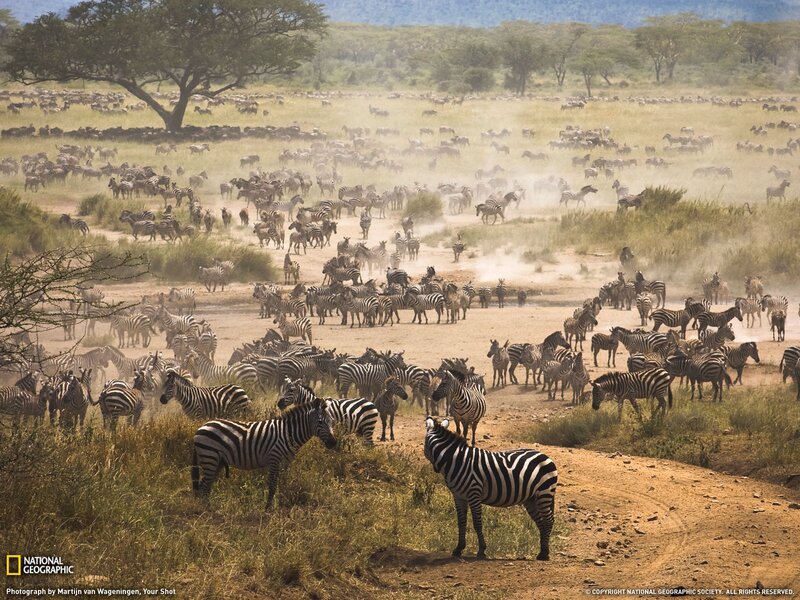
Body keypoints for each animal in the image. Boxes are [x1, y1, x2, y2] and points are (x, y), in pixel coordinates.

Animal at [191, 399, 336, 505]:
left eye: (331, 421)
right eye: (320, 422)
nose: (333, 443)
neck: (288, 433)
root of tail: (201, 427)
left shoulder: (285, 463)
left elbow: (281, 484)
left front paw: (279, 503)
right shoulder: (274, 458)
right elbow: (272, 485)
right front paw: (268, 508)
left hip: (217, 461)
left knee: (205, 485)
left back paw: (207, 509)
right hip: (210, 457)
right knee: (204, 486)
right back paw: (207, 511)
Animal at [423, 417, 557, 560]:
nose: (435, 469)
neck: (456, 461)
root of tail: (544, 455)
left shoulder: (474, 493)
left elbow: (477, 523)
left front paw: (481, 550)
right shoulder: (459, 496)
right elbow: (461, 522)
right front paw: (458, 549)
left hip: (544, 493)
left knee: (548, 520)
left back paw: (544, 554)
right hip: (531, 499)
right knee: (541, 522)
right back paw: (542, 551)